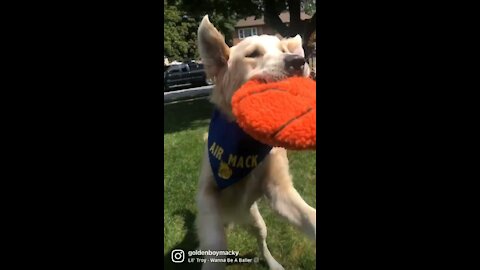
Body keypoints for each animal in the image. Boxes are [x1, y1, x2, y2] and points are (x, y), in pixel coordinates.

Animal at [195, 15, 316, 268]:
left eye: (283, 50)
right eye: (252, 54)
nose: (298, 61)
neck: (245, 141)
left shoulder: (279, 192)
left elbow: (310, 217)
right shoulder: (206, 194)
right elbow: (215, 243)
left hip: (257, 222)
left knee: (262, 243)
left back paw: (273, 263)